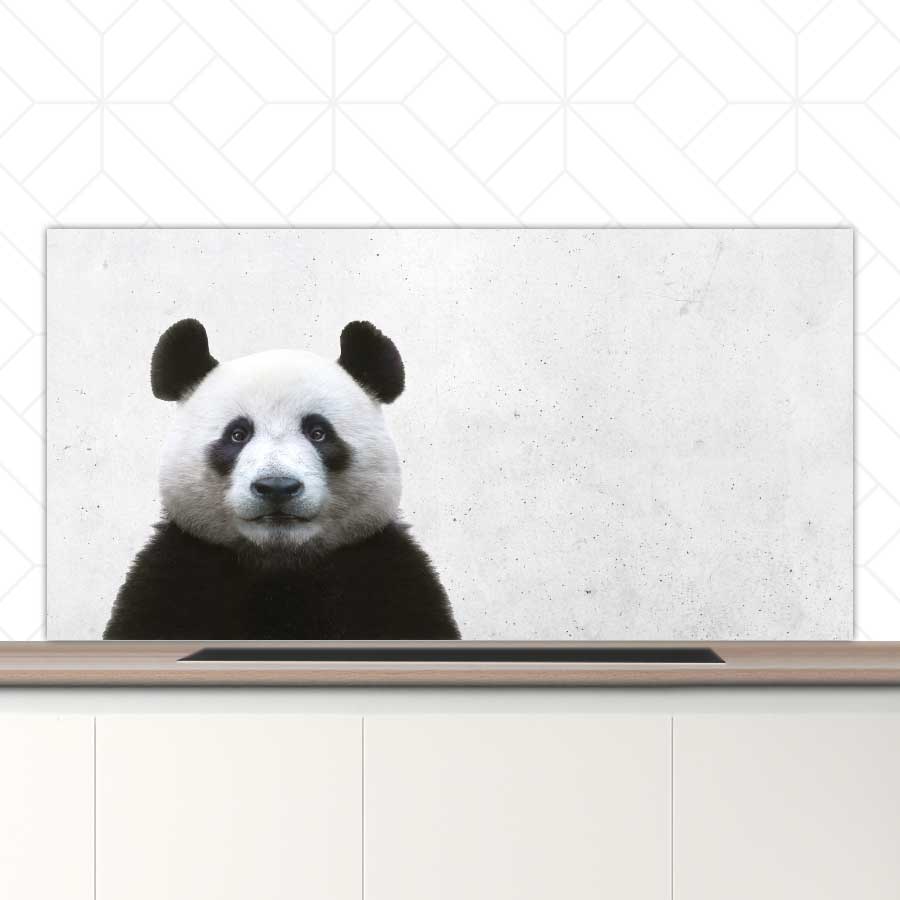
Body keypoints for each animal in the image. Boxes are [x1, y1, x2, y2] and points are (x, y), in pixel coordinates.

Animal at [103, 318, 460, 640]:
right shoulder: (177, 574)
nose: (277, 487)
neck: (280, 565)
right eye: (237, 434)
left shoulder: (384, 575)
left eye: (318, 432)